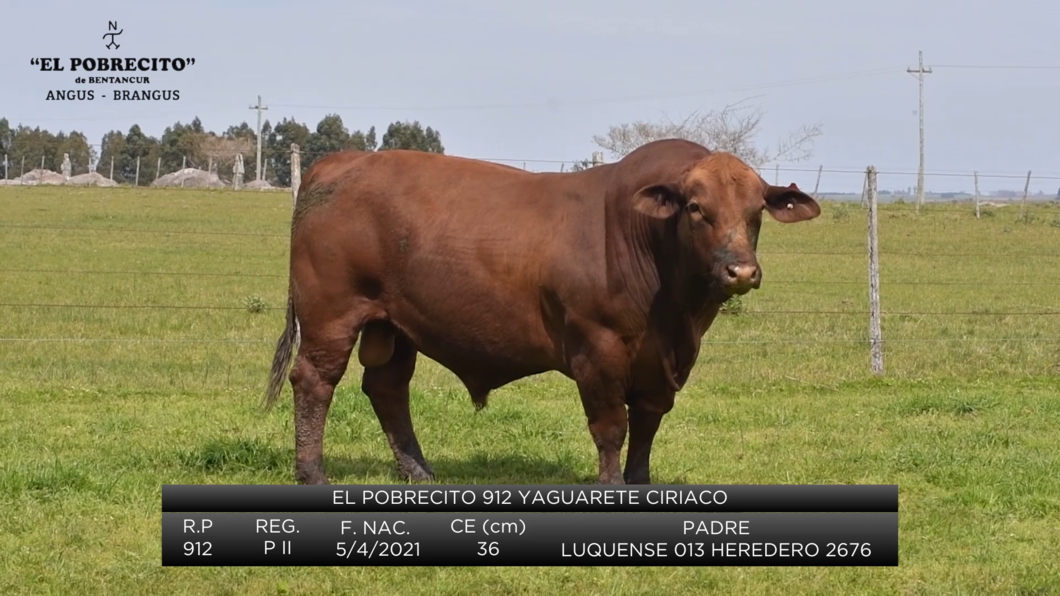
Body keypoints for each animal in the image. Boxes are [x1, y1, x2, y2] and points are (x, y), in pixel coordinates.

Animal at [262, 137, 818, 483]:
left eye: (756, 211)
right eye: (697, 208)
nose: (740, 271)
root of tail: (340, 161)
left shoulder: (663, 364)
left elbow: (648, 424)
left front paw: (639, 482)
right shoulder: (597, 348)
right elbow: (611, 426)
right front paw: (612, 485)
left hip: (394, 324)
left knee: (386, 387)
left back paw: (417, 470)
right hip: (331, 313)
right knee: (315, 381)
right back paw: (312, 472)